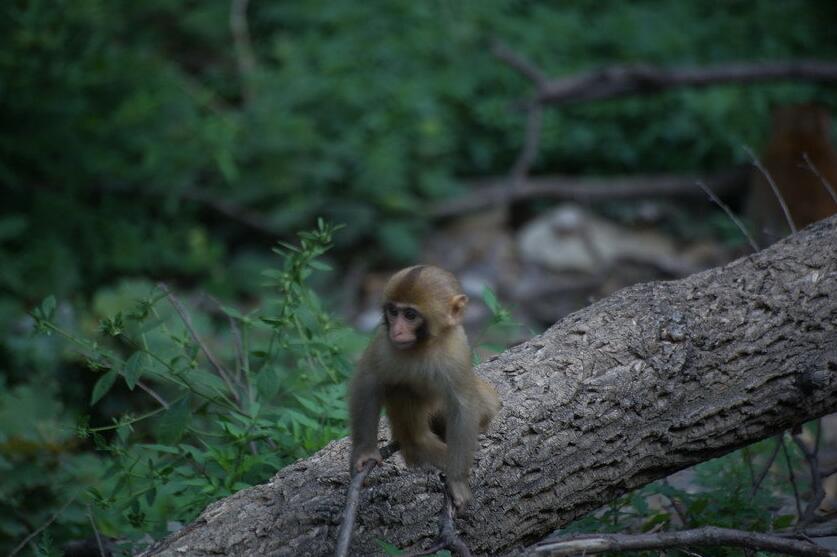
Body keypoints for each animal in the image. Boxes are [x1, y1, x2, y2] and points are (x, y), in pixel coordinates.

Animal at [346, 264, 496, 508]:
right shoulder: (383, 343)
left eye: (410, 315)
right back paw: (419, 444)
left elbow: (463, 406)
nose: (396, 330)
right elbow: (368, 380)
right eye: (393, 312)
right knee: (403, 389)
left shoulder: (458, 351)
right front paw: (365, 452)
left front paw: (457, 480)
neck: (423, 346)